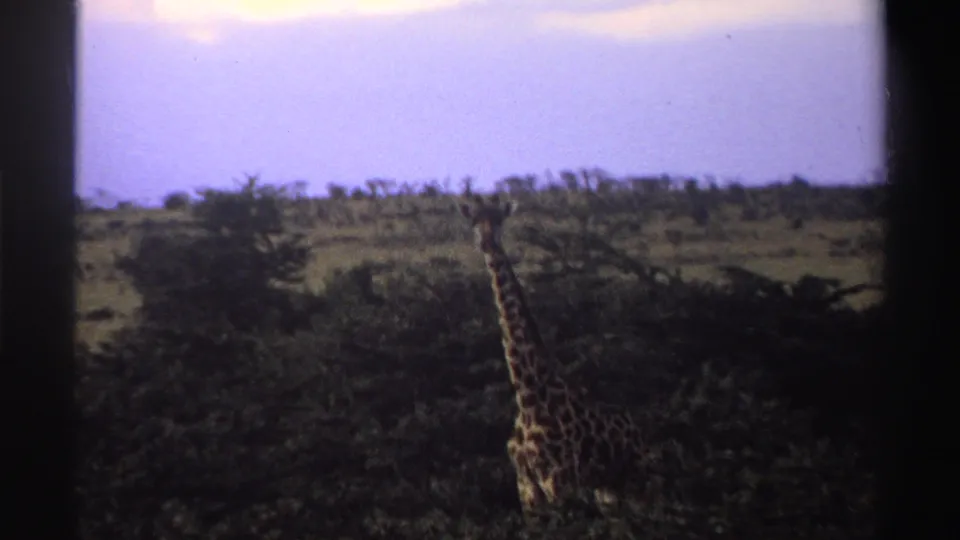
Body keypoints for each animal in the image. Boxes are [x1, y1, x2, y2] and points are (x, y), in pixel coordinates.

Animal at [458, 193, 650, 524]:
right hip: (606, 490)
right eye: (474, 221)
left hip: (634, 478)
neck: (529, 395)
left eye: (500, 220)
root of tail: (635, 428)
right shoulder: (527, 489)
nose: (487, 243)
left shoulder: (559, 482)